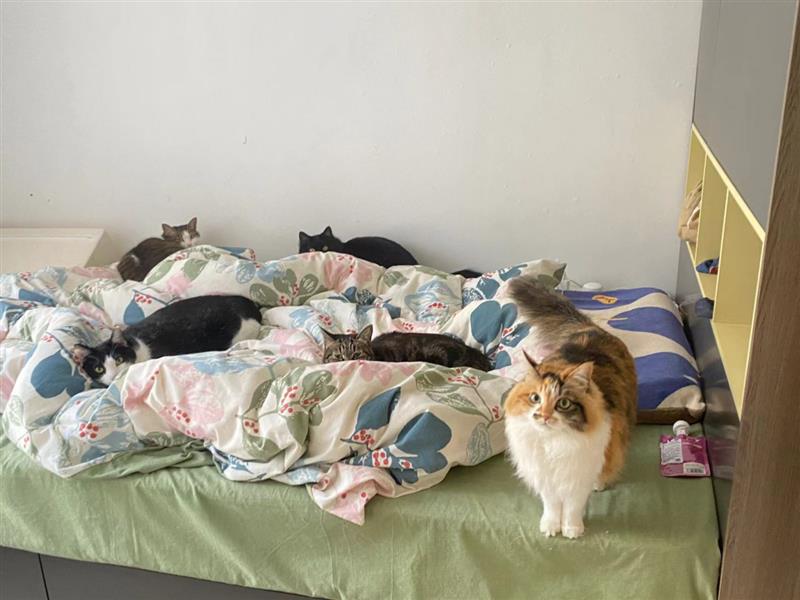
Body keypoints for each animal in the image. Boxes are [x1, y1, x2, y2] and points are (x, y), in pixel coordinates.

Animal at [503, 277, 637, 539]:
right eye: (535, 398)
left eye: (563, 403)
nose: (543, 416)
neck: (554, 444)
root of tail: (588, 328)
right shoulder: (545, 476)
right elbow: (552, 504)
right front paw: (551, 527)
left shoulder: (579, 474)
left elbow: (574, 506)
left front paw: (572, 529)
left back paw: (600, 483)